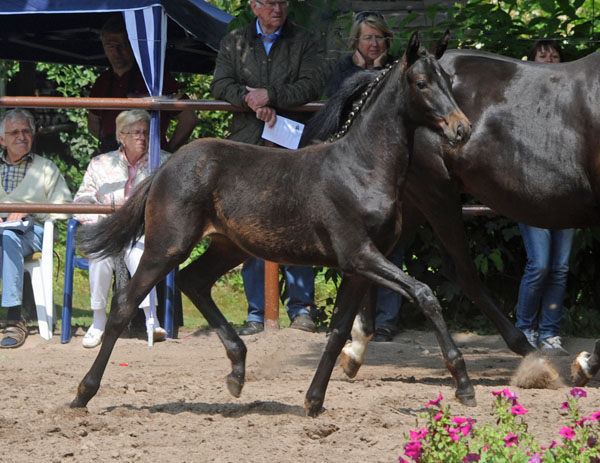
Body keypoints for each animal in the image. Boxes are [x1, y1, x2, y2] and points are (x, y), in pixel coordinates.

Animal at [70, 32, 472, 416]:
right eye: (421, 83)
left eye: (448, 81)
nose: (462, 129)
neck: (361, 168)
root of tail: (165, 167)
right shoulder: (360, 255)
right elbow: (424, 294)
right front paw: (463, 384)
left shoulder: (361, 266)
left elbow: (339, 331)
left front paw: (314, 400)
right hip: (166, 245)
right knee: (125, 304)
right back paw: (82, 394)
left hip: (228, 246)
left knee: (193, 281)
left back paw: (237, 371)